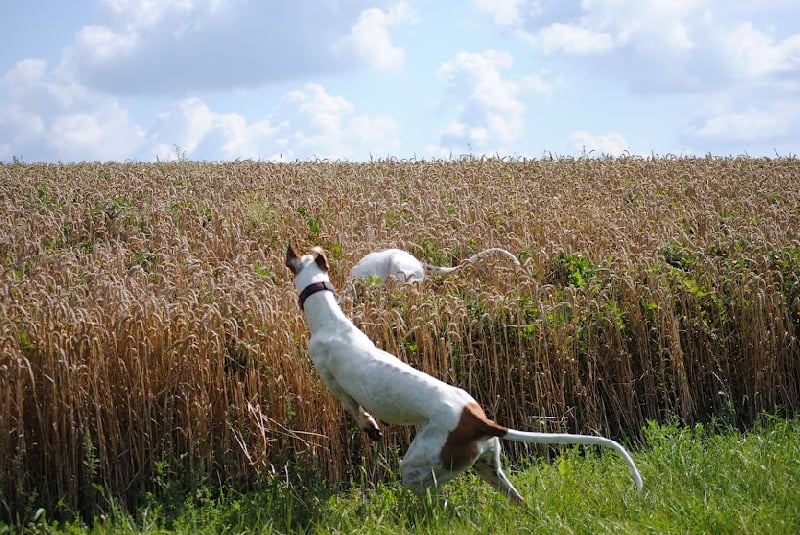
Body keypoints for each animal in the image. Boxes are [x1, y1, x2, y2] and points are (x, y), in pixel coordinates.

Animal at [286, 245, 643, 506]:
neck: (330, 317)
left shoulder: (333, 382)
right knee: (518, 500)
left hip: (421, 467)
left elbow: (357, 411)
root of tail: (477, 419)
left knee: (437, 496)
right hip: (488, 465)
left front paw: (371, 427)